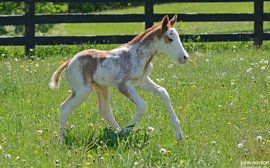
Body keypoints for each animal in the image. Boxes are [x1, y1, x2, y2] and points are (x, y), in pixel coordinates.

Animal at [49, 15, 189, 140]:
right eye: (170, 39)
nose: (185, 57)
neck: (136, 55)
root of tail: (69, 61)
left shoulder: (142, 81)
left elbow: (163, 92)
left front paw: (178, 134)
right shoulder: (122, 84)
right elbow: (142, 105)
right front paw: (126, 131)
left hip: (102, 88)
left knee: (104, 110)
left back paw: (117, 132)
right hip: (82, 91)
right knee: (64, 108)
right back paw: (61, 141)